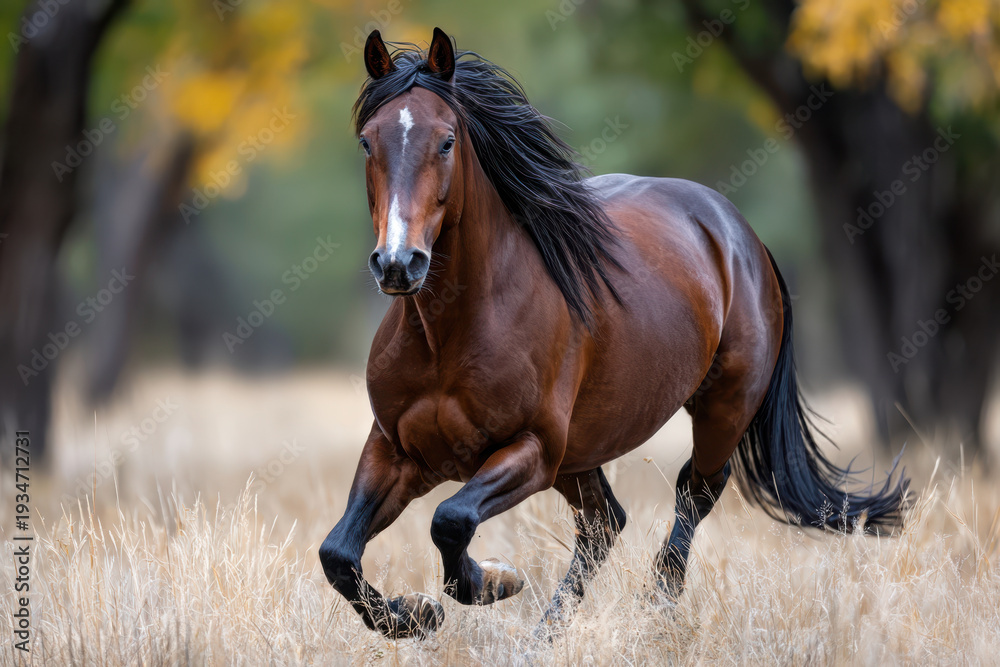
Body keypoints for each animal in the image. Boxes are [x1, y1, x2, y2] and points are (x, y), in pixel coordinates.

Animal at [318, 27, 908, 640]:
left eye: (447, 141)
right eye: (367, 142)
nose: (397, 263)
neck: (450, 334)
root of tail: (739, 233)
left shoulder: (532, 451)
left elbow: (450, 520)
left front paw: (494, 581)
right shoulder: (395, 451)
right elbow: (338, 554)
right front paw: (416, 614)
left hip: (719, 410)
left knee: (693, 494)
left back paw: (657, 608)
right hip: (581, 456)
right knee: (604, 524)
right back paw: (543, 640)